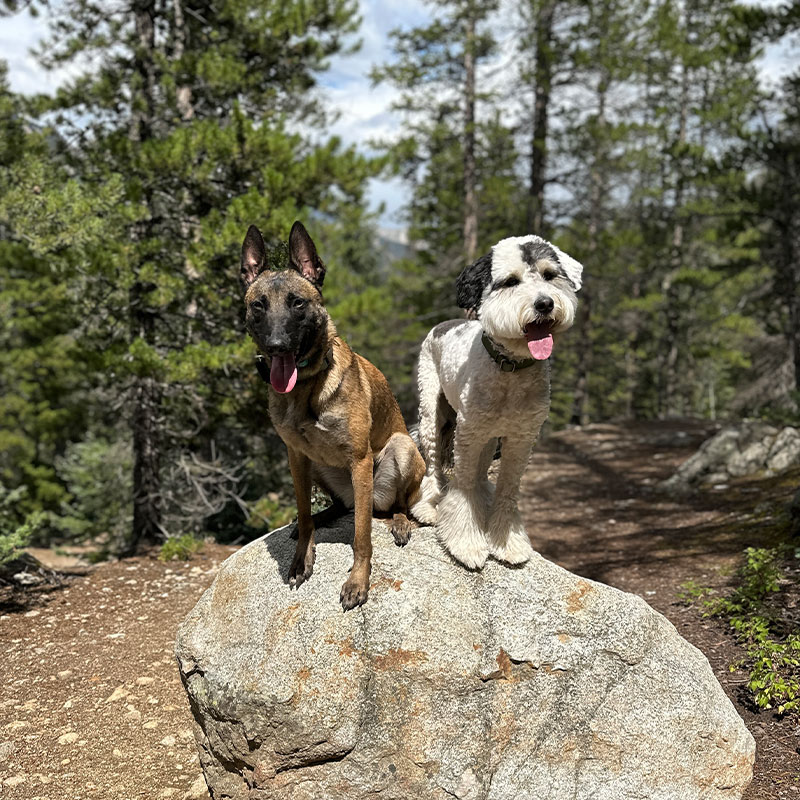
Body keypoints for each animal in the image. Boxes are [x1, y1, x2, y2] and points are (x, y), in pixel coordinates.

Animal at [241, 222, 424, 608]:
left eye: (297, 303)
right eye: (259, 305)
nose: (277, 346)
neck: (306, 387)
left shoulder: (359, 460)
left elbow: (361, 538)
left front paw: (358, 581)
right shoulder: (296, 457)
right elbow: (303, 512)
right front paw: (302, 556)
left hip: (401, 448)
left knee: (399, 504)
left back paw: (400, 521)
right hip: (319, 467)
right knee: (340, 506)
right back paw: (324, 515)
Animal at [412, 233, 580, 568]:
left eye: (549, 275)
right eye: (511, 281)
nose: (545, 303)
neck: (510, 369)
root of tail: (444, 324)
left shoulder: (522, 437)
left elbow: (508, 487)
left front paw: (507, 541)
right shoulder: (469, 433)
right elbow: (462, 488)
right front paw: (466, 544)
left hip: (490, 437)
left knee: (479, 473)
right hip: (432, 410)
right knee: (434, 462)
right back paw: (429, 507)